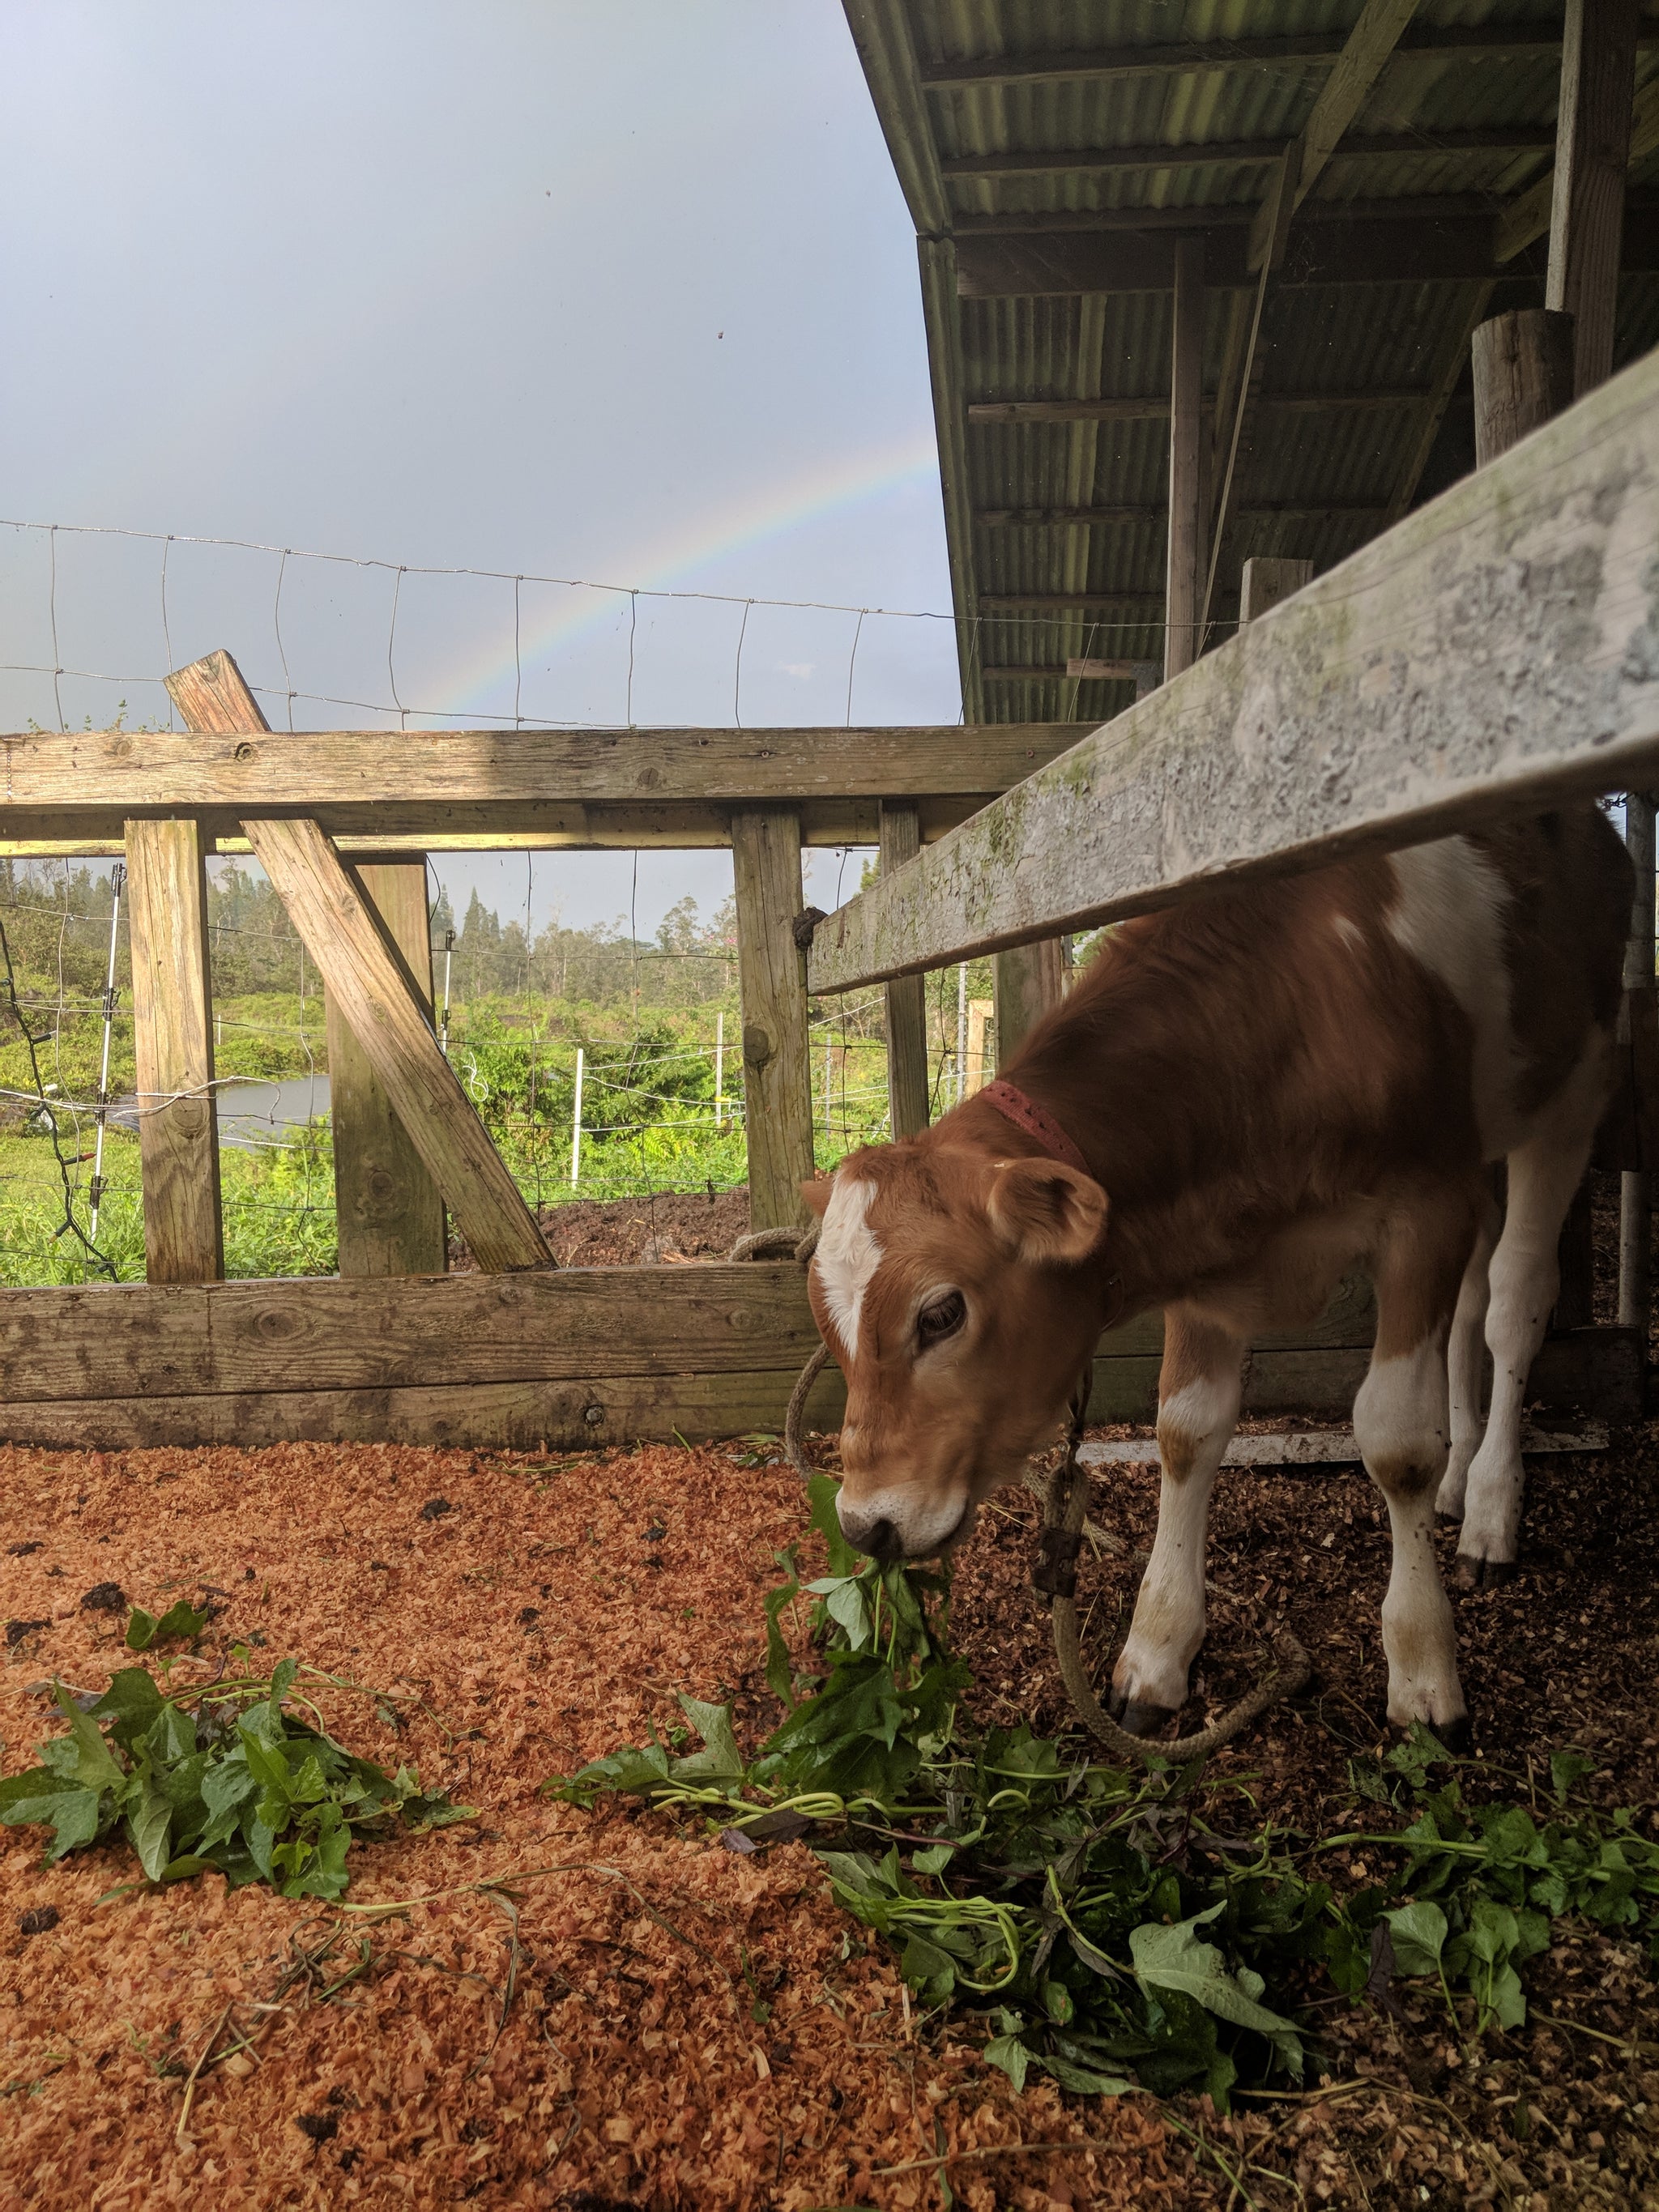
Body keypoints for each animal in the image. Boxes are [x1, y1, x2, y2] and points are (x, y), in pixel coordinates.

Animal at [802, 810, 1632, 1743]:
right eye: (827, 1326)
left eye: (941, 1313)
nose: (865, 1523)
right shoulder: (1209, 1246)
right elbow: (1186, 1431)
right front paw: (1157, 1649)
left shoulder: (1426, 1205)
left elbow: (1395, 1440)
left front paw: (1423, 1668)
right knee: (1470, 1305)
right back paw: (1460, 1489)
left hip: (1571, 1094)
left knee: (1513, 1300)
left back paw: (1490, 1507)